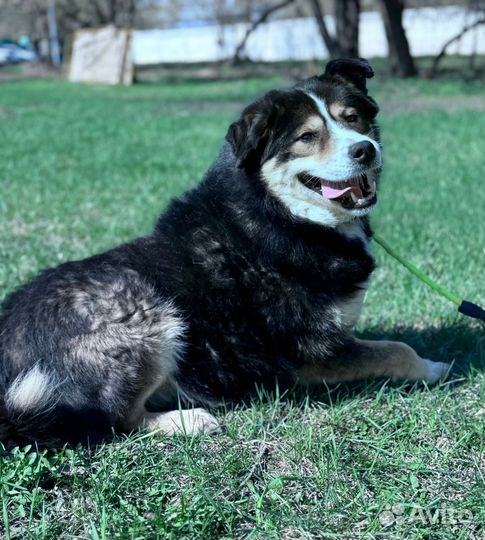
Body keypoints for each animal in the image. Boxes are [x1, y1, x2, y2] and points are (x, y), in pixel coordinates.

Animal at [0, 58, 448, 448]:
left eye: (352, 118)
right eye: (307, 138)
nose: (365, 150)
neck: (278, 215)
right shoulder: (310, 357)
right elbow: (397, 349)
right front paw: (435, 367)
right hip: (143, 311)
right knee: (116, 418)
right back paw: (187, 420)